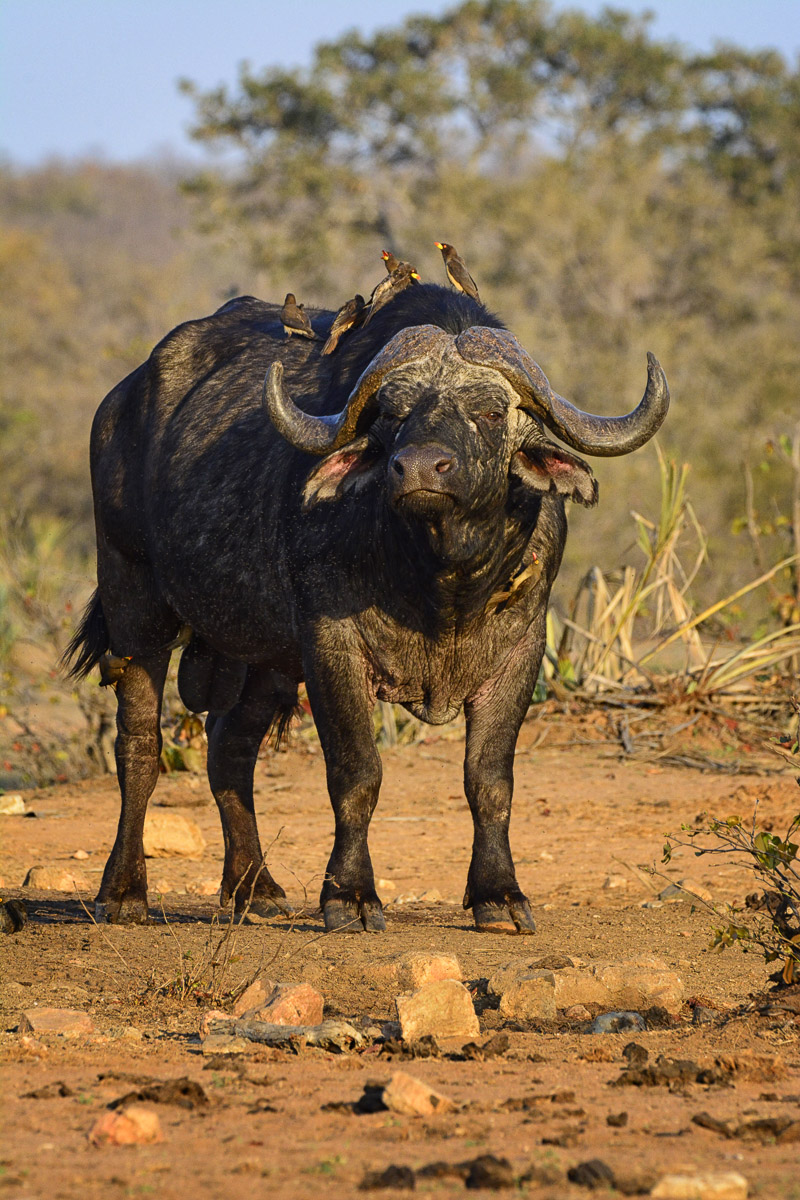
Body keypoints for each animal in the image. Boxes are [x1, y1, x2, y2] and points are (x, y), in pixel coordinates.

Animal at [66, 281, 668, 933]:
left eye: (489, 411)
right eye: (395, 412)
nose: (421, 467)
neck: (437, 579)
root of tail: (120, 402)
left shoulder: (520, 651)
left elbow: (489, 780)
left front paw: (499, 895)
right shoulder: (332, 648)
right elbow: (357, 774)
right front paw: (350, 896)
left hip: (266, 657)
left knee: (230, 749)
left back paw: (254, 889)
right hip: (134, 604)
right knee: (139, 746)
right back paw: (124, 892)